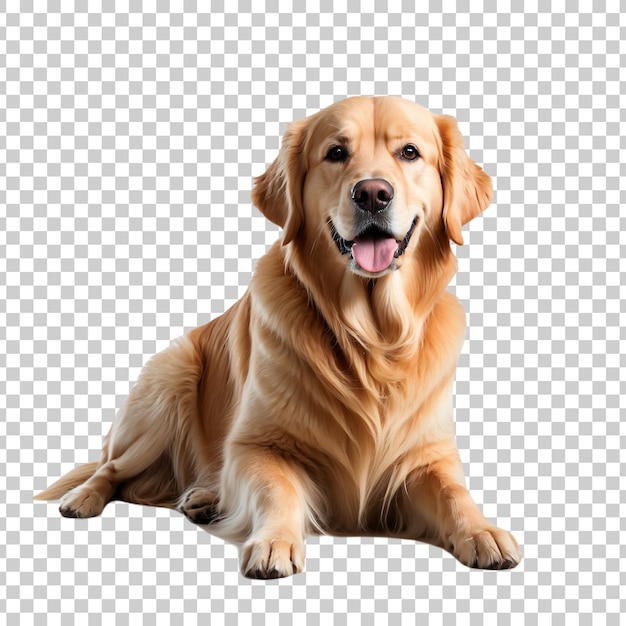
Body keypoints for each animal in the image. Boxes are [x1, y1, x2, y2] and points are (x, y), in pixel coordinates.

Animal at [36, 96, 520, 576]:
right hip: (168, 383)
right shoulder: (256, 444)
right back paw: (84, 497)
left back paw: (203, 497)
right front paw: (274, 543)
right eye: (336, 152)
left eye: (410, 153)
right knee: (110, 466)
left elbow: (454, 491)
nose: (372, 193)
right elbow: (277, 488)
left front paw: (482, 530)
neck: (368, 341)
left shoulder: (427, 455)